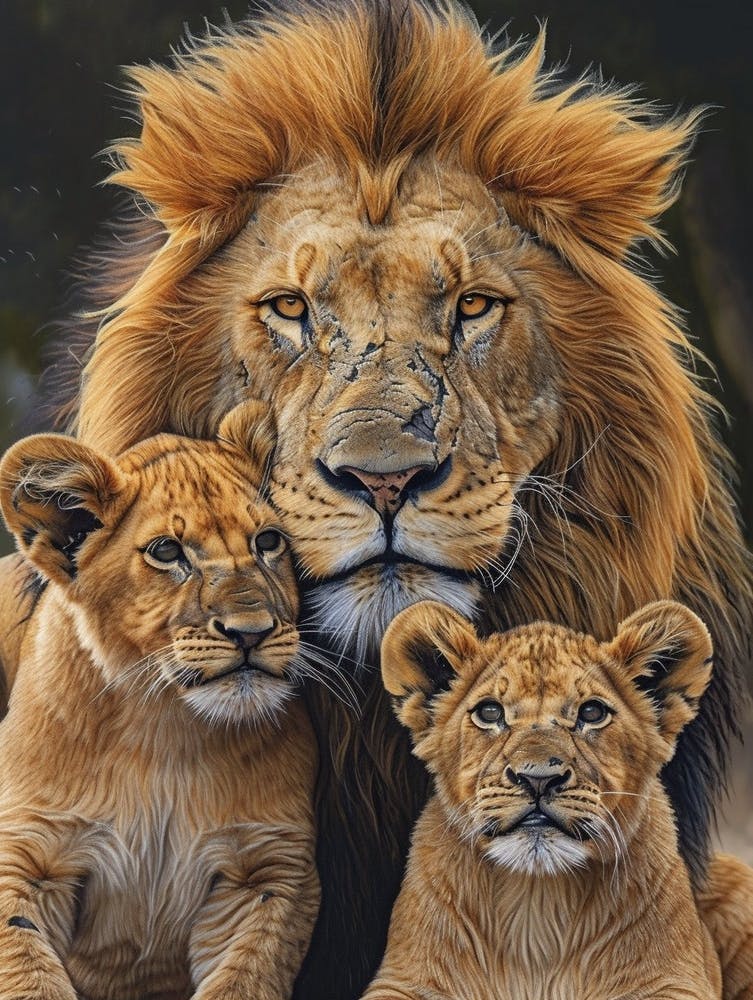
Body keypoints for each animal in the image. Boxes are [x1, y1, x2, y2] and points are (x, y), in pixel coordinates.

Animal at [0, 401, 320, 1000]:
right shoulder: (28, 856)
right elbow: (28, 973)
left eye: (268, 541)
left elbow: (243, 981)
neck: (162, 728)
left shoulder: (267, 873)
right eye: (167, 552)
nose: (251, 632)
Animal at [364, 599, 724, 999]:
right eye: (489, 712)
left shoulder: (675, 980)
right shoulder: (403, 980)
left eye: (592, 713)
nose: (538, 777)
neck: (536, 898)